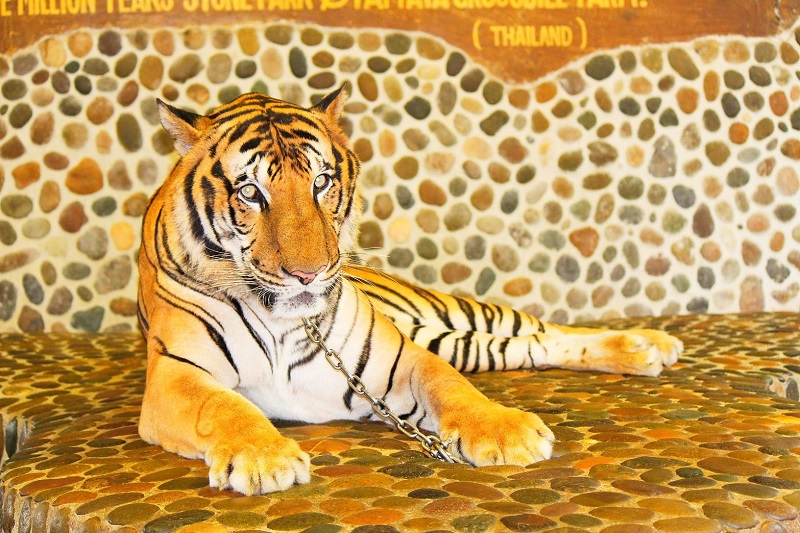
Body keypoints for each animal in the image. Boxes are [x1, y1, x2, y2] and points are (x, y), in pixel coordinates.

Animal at [137, 86, 683, 496]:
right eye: (251, 192)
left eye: (322, 182)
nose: (310, 274)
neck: (283, 320)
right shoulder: (174, 373)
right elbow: (223, 406)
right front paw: (264, 458)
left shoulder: (397, 357)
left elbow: (450, 387)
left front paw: (503, 432)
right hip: (464, 342)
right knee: (529, 348)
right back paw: (645, 349)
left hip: (455, 314)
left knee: (543, 330)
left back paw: (649, 344)